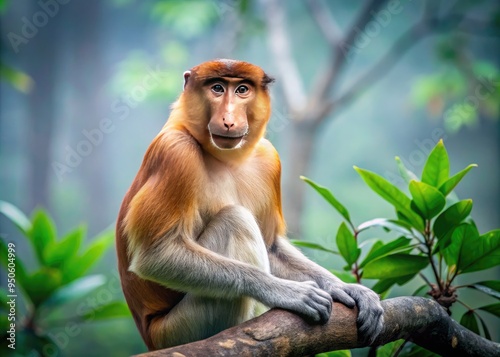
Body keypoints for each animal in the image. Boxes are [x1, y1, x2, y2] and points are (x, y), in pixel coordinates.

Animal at [116, 59, 382, 350]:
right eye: (217, 88)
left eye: (242, 89)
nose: (229, 120)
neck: (223, 158)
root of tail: (150, 335)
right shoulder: (176, 152)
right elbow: (155, 255)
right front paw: (287, 292)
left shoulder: (268, 158)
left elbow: (272, 246)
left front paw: (344, 287)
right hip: (181, 328)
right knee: (235, 220)